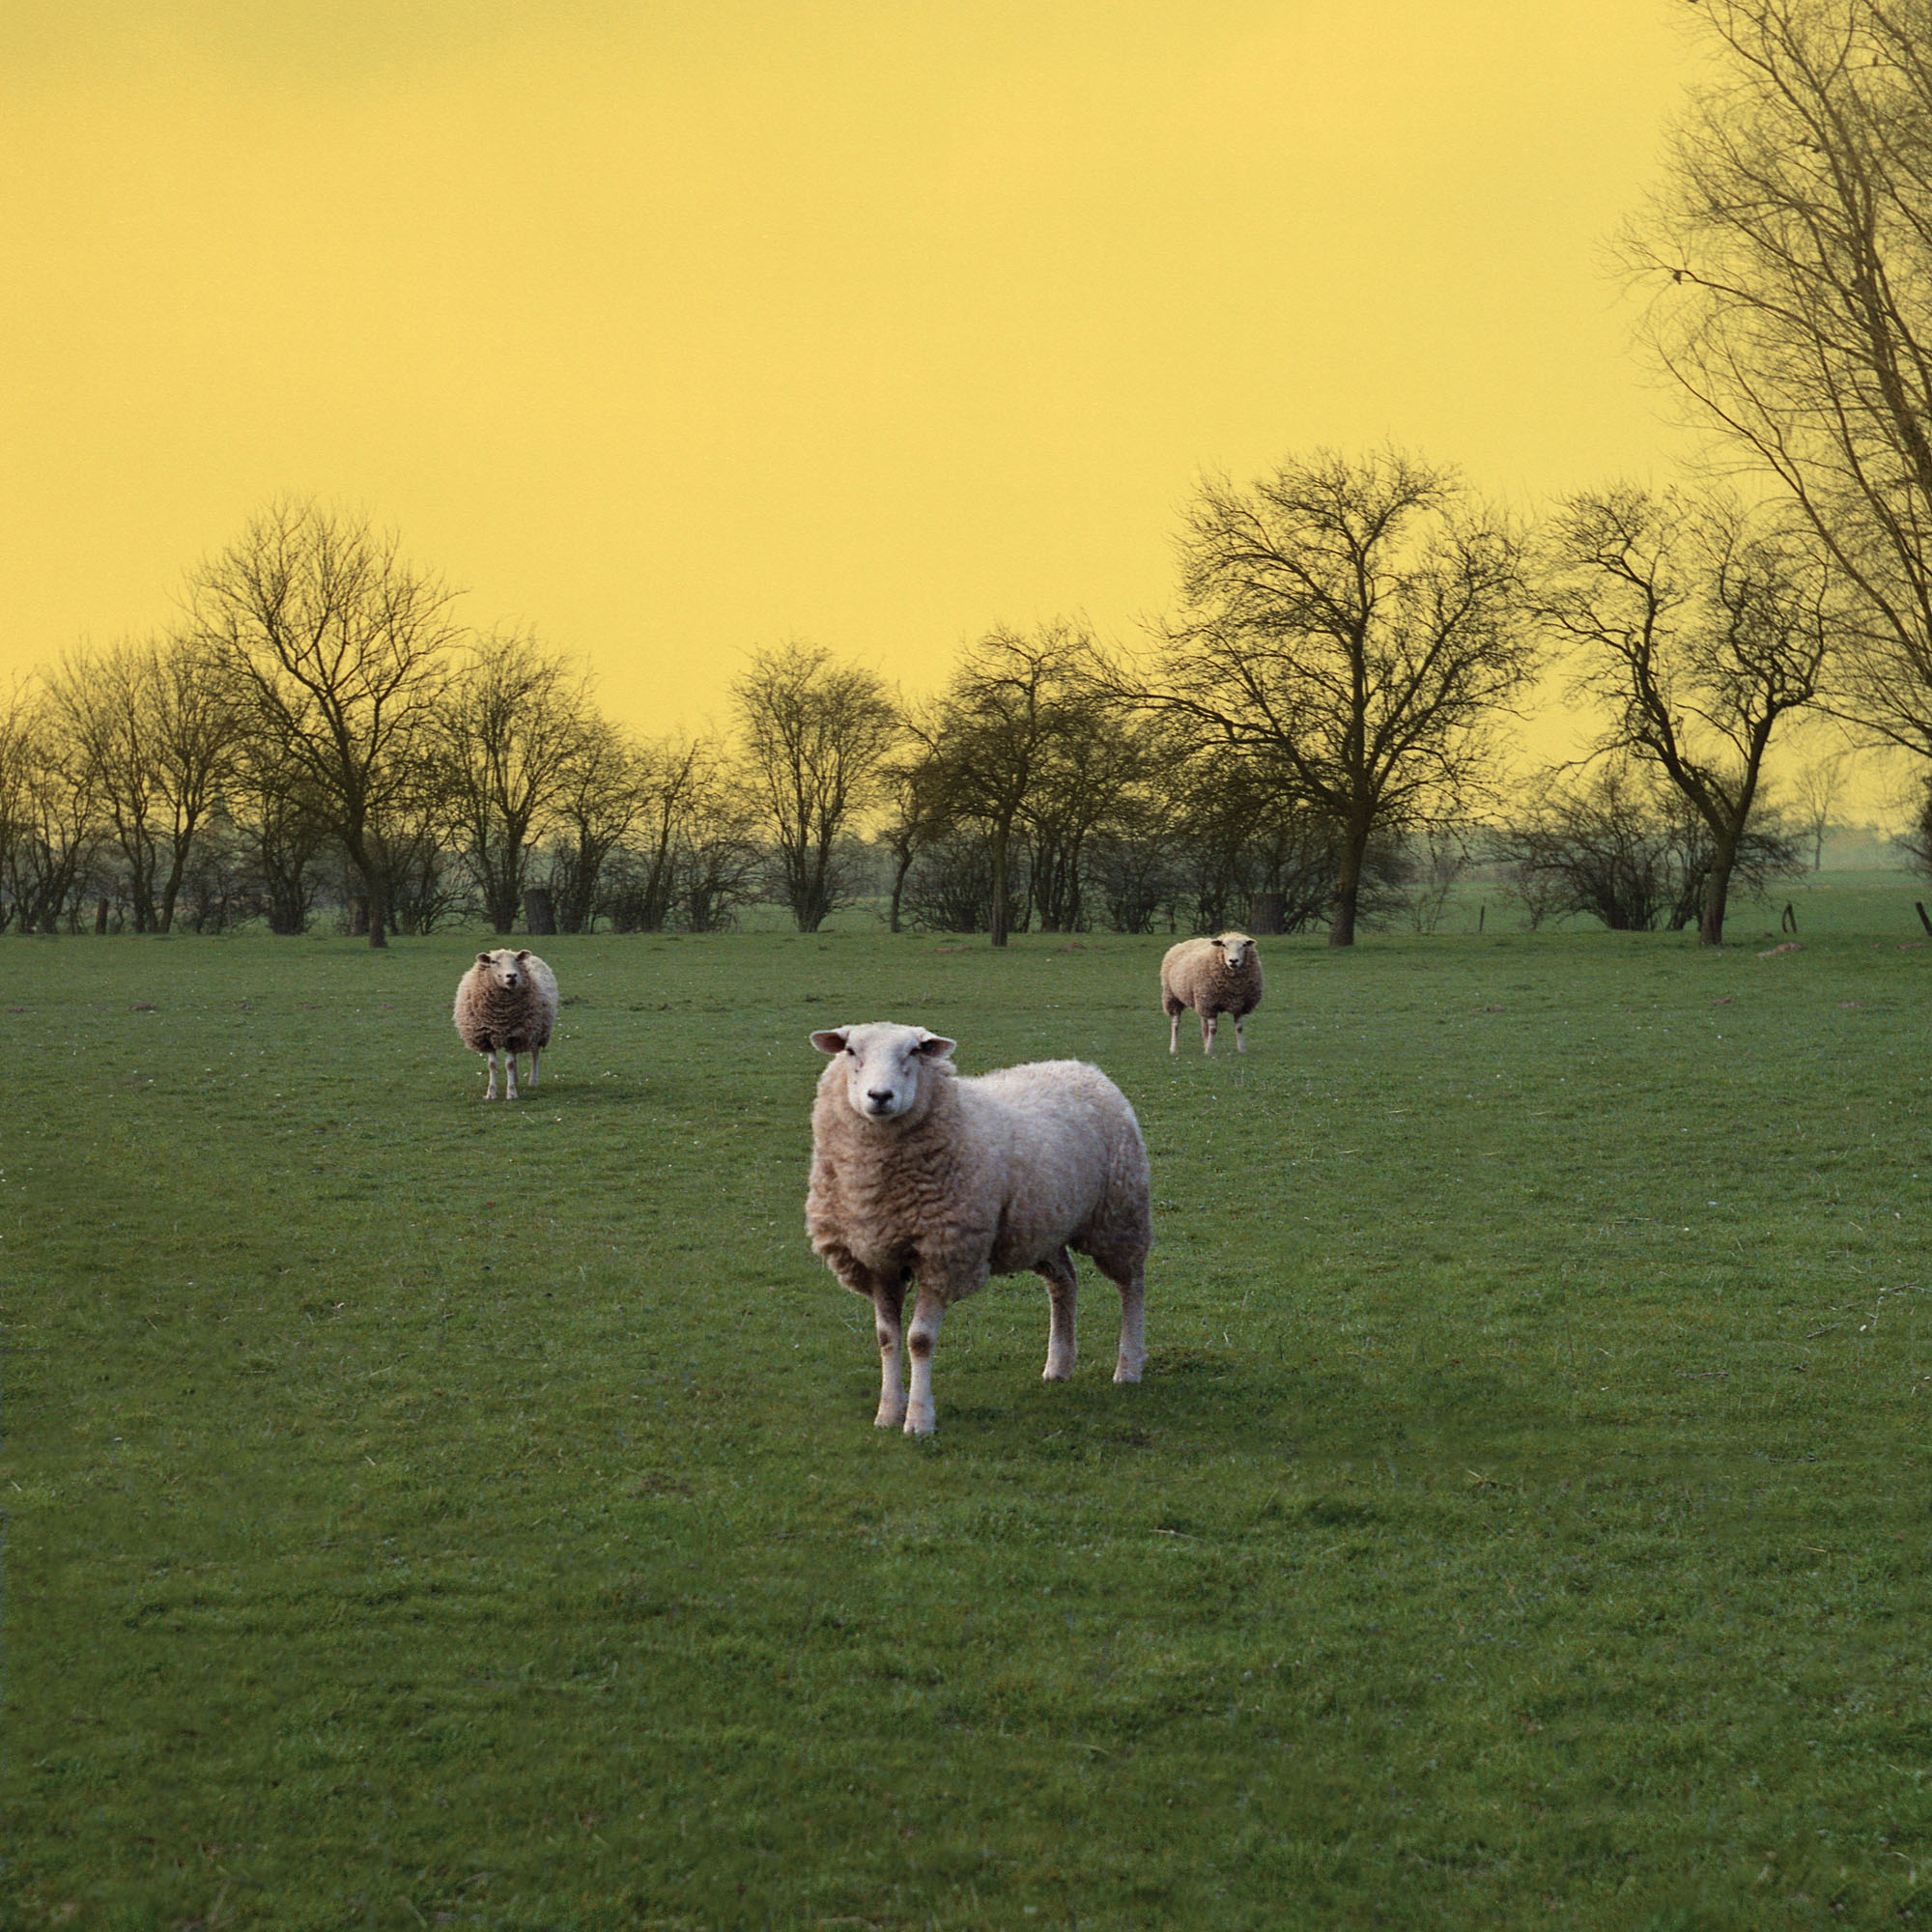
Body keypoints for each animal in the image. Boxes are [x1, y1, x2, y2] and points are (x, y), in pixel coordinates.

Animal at [452, 948, 558, 1101]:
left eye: (516, 960)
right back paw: (515, 1079)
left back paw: (533, 1081)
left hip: (538, 1031)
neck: (501, 1017)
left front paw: (512, 1093)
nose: (512, 975)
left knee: (535, 1054)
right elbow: (493, 1065)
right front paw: (491, 1093)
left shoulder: (515, 1036)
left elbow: (509, 1064)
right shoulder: (488, 1037)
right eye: (493, 961)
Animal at [806, 1023, 1152, 1437]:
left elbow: (919, 1340)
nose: (880, 1096)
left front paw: (919, 1420)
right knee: (1064, 1282)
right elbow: (887, 1338)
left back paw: (1129, 1366)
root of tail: (1083, 1067)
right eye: (850, 1051)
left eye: (914, 1052)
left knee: (1131, 1285)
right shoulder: (877, 1260)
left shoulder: (943, 1255)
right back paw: (1059, 1365)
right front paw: (888, 1413)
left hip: (1119, 1214)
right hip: (1039, 1228)